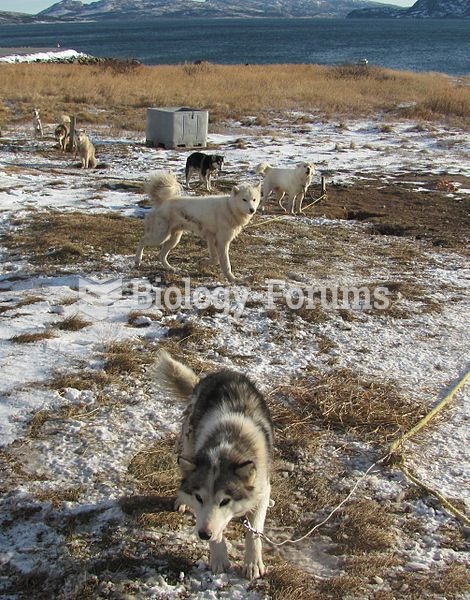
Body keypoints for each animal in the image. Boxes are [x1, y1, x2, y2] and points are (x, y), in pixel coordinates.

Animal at [155, 350, 272, 580]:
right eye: (200, 498)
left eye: (225, 501)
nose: (203, 535)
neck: (228, 443)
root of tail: (221, 373)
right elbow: (215, 530)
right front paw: (218, 557)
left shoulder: (262, 491)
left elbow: (254, 533)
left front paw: (252, 563)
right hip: (188, 443)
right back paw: (181, 499)